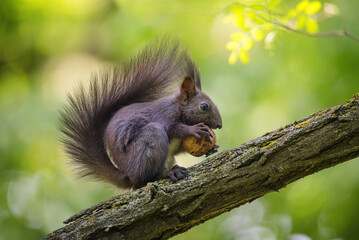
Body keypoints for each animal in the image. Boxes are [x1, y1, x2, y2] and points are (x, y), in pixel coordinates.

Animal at [59, 39, 222, 189]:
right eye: (204, 106)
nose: (219, 125)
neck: (177, 108)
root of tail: (127, 174)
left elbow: (179, 149)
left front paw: (213, 148)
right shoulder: (164, 116)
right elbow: (173, 128)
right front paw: (193, 129)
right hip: (150, 141)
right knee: (144, 179)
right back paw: (167, 173)